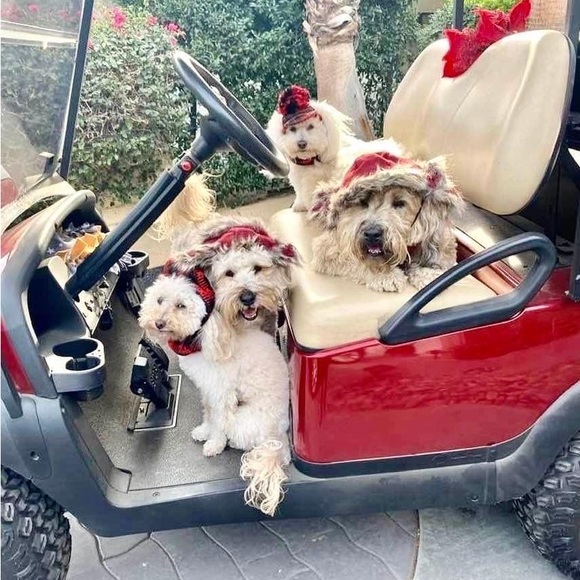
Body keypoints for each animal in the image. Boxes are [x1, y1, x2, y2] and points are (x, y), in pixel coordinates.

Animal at [139, 228, 299, 515]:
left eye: (181, 306)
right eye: (159, 300)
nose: (158, 323)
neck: (202, 338)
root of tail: (279, 438)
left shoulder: (223, 394)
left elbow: (219, 422)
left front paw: (213, 443)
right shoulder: (207, 390)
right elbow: (208, 414)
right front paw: (204, 431)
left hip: (245, 420)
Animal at [308, 151, 464, 292]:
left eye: (399, 203)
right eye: (363, 201)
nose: (372, 234)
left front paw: (428, 274)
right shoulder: (328, 248)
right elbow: (353, 260)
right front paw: (385, 275)